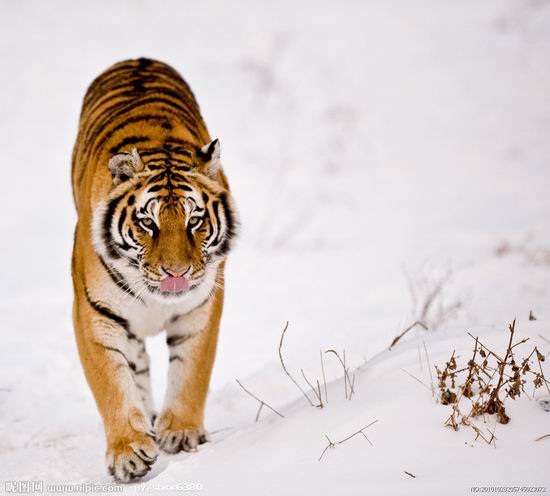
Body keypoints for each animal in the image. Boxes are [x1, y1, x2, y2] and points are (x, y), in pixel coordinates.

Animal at [70, 57, 237, 480]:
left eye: (195, 220)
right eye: (148, 222)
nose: (176, 273)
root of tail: (136, 59)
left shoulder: (201, 308)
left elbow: (191, 371)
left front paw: (180, 431)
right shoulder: (95, 316)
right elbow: (113, 384)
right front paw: (129, 451)